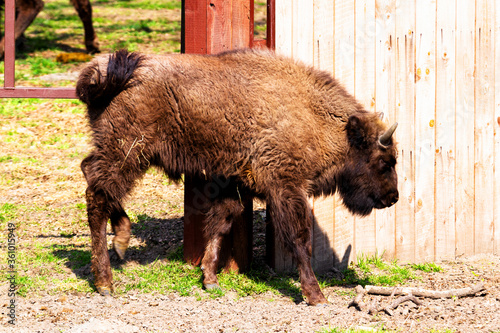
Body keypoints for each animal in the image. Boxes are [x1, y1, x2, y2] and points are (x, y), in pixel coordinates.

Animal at [76, 48, 400, 304]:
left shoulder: (234, 183)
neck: (312, 115)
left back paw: (121, 239)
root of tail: (99, 76)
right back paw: (105, 282)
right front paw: (315, 295)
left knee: (90, 173)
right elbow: (299, 238)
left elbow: (220, 223)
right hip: (128, 153)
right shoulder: (285, 187)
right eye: (384, 161)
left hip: (119, 154)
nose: (393, 197)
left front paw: (209, 279)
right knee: (97, 197)